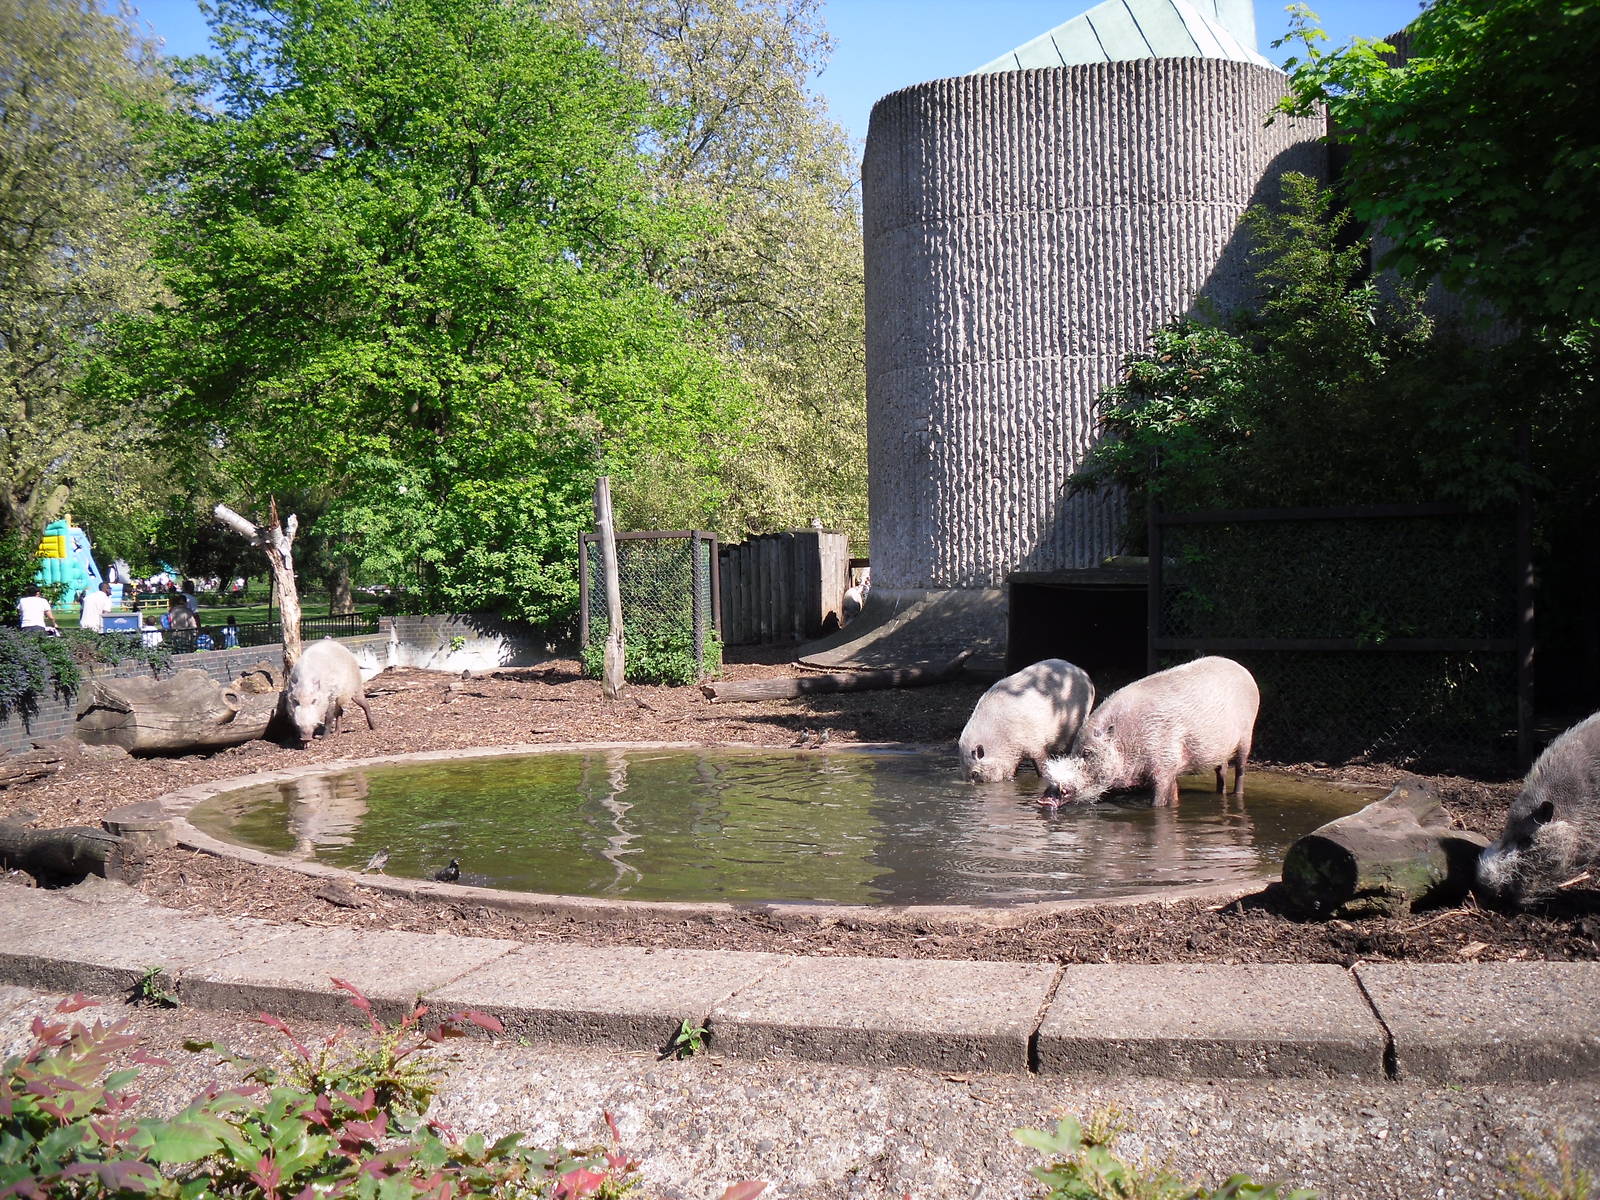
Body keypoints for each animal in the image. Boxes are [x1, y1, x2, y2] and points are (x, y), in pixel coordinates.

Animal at [1039, 656, 1259, 806]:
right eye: (1073, 751)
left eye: (1087, 753)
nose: (1044, 799)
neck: (1129, 741)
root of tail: (1244, 670)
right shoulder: (1170, 768)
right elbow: (1174, 793)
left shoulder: (1165, 763)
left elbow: (1159, 800)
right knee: (1222, 770)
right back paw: (1220, 793)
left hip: (1247, 734)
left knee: (1240, 768)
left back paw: (1237, 794)